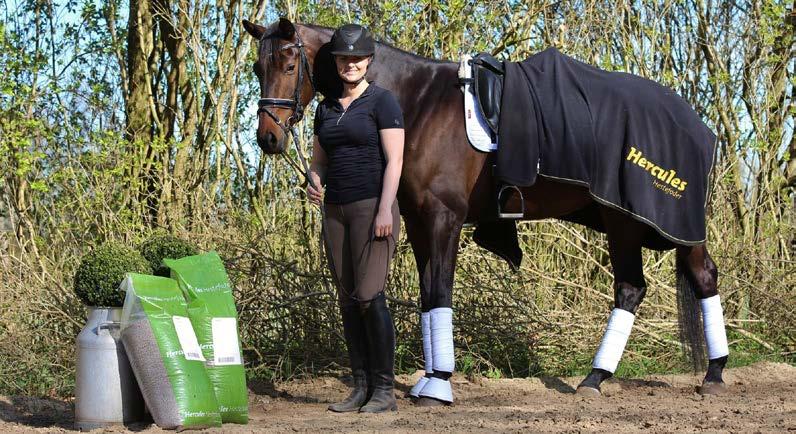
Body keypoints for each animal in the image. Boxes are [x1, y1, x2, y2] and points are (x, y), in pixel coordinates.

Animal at [241, 17, 728, 404]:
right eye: (257, 68)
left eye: (289, 66)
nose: (268, 138)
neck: (416, 103)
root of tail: (693, 120)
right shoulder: (418, 221)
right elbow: (427, 294)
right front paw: (427, 379)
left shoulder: (444, 218)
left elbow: (440, 291)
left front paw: (439, 383)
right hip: (620, 220)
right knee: (637, 288)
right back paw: (598, 378)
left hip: (651, 223)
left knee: (694, 278)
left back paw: (711, 374)